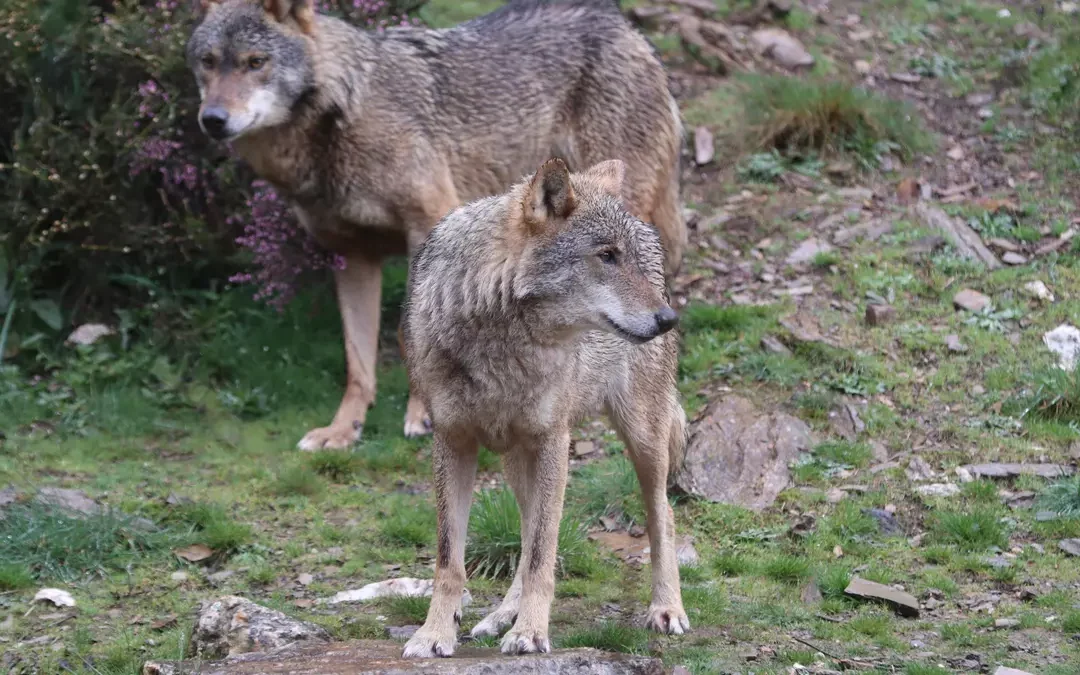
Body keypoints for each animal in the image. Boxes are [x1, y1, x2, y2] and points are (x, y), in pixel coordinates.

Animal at [186, 0, 687, 450]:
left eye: (255, 62)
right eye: (208, 63)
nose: (212, 120)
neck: (343, 113)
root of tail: (624, 25)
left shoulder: (426, 223)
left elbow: (408, 333)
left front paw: (423, 414)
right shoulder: (352, 255)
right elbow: (357, 359)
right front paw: (343, 430)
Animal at [401, 158, 689, 657]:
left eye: (625, 257)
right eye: (607, 256)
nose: (669, 319)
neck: (501, 341)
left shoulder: (555, 439)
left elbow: (542, 554)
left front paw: (531, 632)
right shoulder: (452, 441)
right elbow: (450, 559)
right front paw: (435, 634)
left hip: (643, 441)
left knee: (662, 516)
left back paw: (666, 608)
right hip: (518, 459)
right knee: (526, 528)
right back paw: (501, 616)